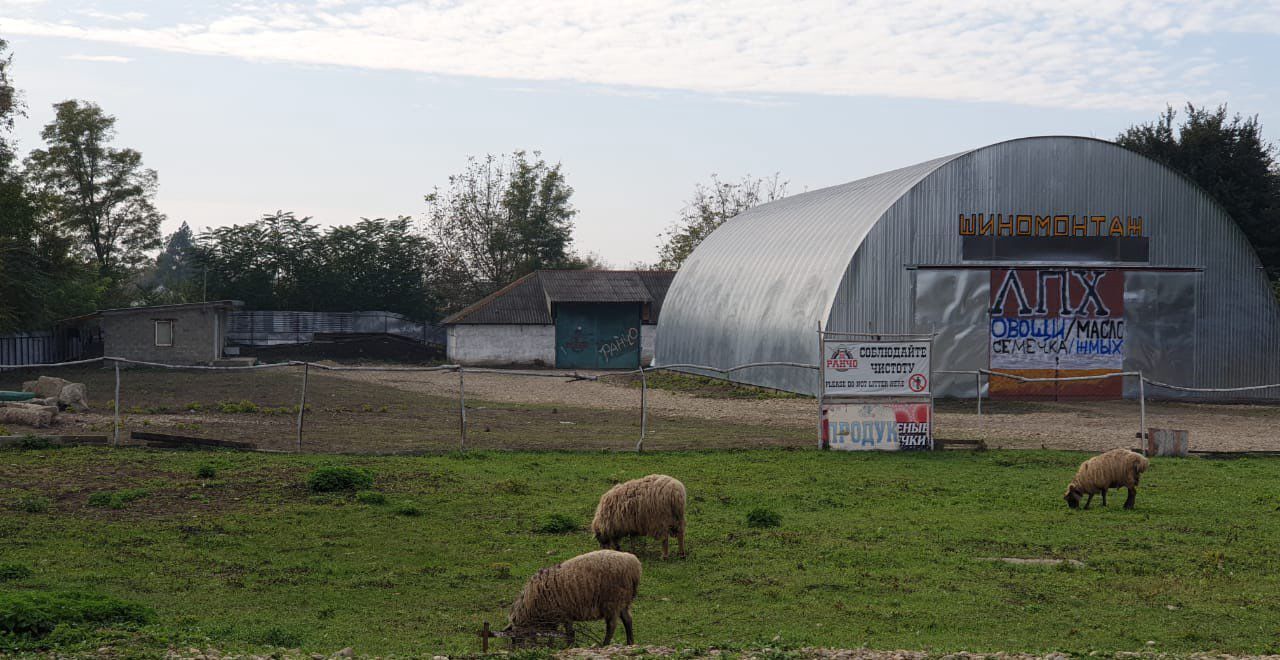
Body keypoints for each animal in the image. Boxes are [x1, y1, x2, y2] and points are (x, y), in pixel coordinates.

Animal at [499, 550, 640, 647]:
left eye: (514, 636)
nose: (517, 649)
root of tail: (634, 564)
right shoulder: (558, 616)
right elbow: (555, 632)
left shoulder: (562, 614)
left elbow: (566, 633)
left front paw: (565, 646)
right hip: (624, 601)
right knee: (628, 620)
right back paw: (630, 642)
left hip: (612, 601)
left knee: (612, 625)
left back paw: (604, 644)